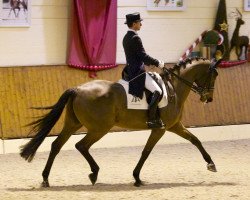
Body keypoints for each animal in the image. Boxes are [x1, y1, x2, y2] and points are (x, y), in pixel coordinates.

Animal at [20, 57, 221, 188]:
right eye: (214, 75)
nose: (209, 98)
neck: (173, 89)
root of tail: (77, 89)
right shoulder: (161, 129)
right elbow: (146, 152)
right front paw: (137, 178)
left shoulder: (174, 126)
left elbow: (195, 140)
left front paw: (211, 164)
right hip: (100, 128)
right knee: (81, 145)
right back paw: (94, 173)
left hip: (73, 124)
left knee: (56, 145)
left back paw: (46, 179)